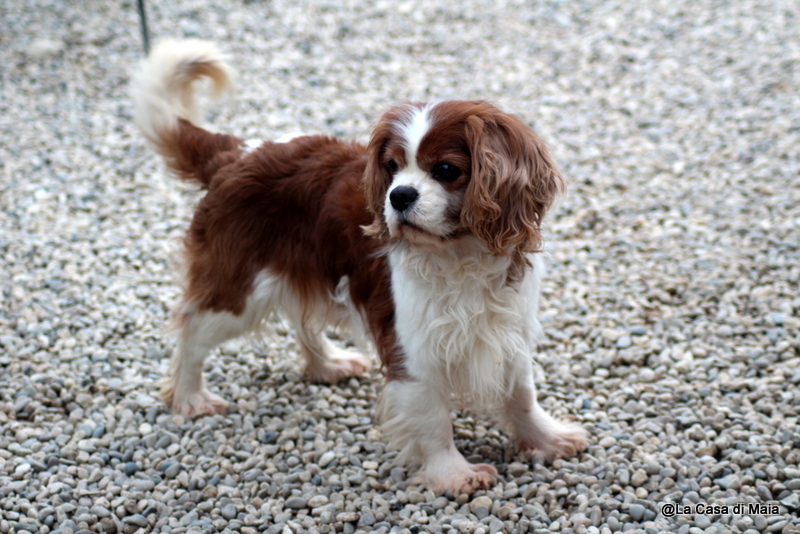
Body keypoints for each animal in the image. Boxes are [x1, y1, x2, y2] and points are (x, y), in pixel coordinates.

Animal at [131, 39, 587, 494]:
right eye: (392, 167)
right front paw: (454, 473)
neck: (459, 254)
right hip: (239, 291)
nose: (398, 196)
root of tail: (236, 153)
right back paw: (189, 396)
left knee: (300, 316)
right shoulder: (412, 346)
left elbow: (522, 395)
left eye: (446, 170)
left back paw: (327, 364)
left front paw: (545, 439)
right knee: (193, 329)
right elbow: (433, 420)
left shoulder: (509, 330)